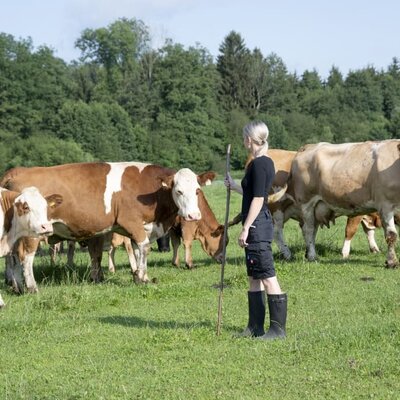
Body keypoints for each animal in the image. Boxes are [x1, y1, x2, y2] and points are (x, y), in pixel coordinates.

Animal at [0, 161, 212, 292]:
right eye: (179, 191)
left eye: (197, 190)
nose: (194, 215)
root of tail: (18, 171)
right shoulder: (132, 222)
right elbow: (144, 248)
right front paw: (141, 277)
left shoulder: (137, 229)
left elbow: (136, 251)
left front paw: (139, 275)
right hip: (33, 232)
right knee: (25, 257)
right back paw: (31, 287)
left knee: (12, 256)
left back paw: (15, 285)